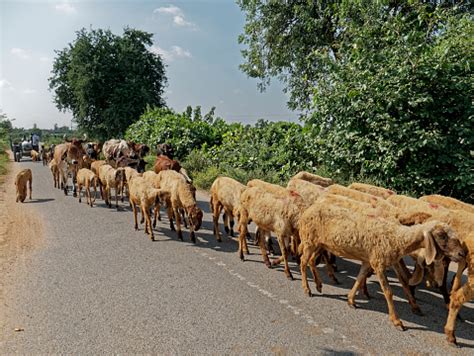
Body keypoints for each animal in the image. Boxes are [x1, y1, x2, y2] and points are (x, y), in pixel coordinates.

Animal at [298, 202, 464, 330]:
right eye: (442, 235)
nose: (462, 253)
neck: (397, 238)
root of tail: (309, 209)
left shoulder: (372, 261)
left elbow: (361, 279)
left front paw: (351, 300)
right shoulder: (378, 263)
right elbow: (388, 292)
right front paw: (397, 321)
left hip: (319, 243)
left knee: (311, 260)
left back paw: (319, 285)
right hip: (309, 240)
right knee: (303, 262)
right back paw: (307, 289)